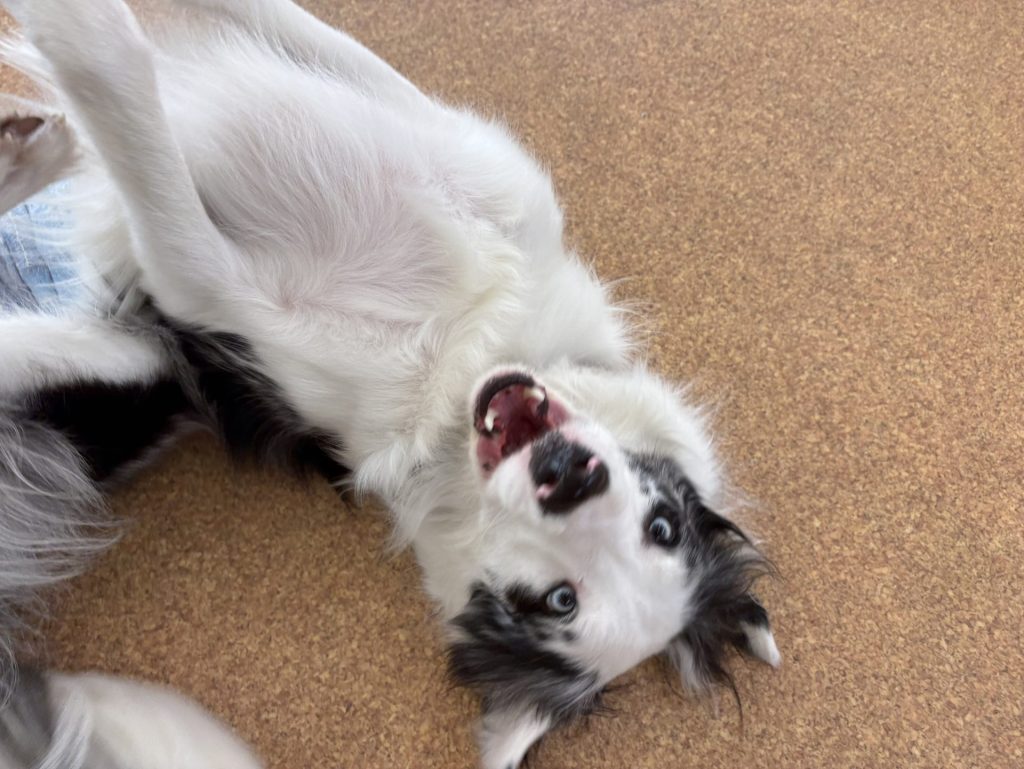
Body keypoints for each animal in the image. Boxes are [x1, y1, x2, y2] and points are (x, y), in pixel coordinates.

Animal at [0, 1, 779, 766]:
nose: (569, 475)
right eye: (663, 525)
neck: (461, 352)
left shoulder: (210, 292)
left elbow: (135, 118)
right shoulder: (461, 149)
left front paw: (79, 28)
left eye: (561, 601)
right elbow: (294, 26)